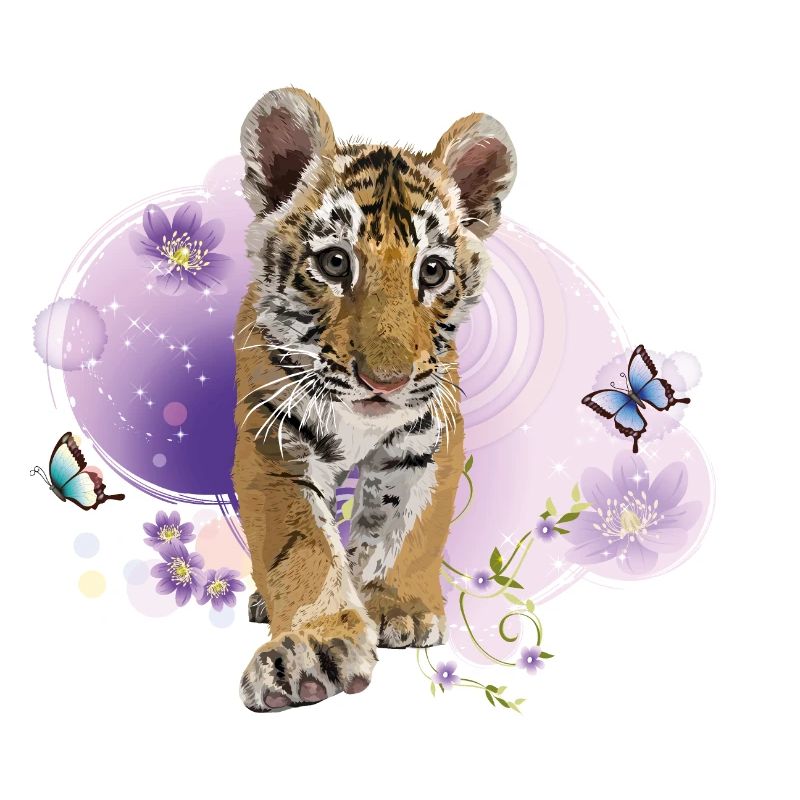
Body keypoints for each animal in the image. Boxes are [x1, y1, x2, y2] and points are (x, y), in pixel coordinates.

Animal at [234, 87, 516, 711]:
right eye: (335, 262)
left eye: (432, 271)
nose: (384, 381)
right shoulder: (275, 444)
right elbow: (304, 547)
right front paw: (312, 649)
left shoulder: (428, 439)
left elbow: (406, 526)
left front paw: (398, 607)